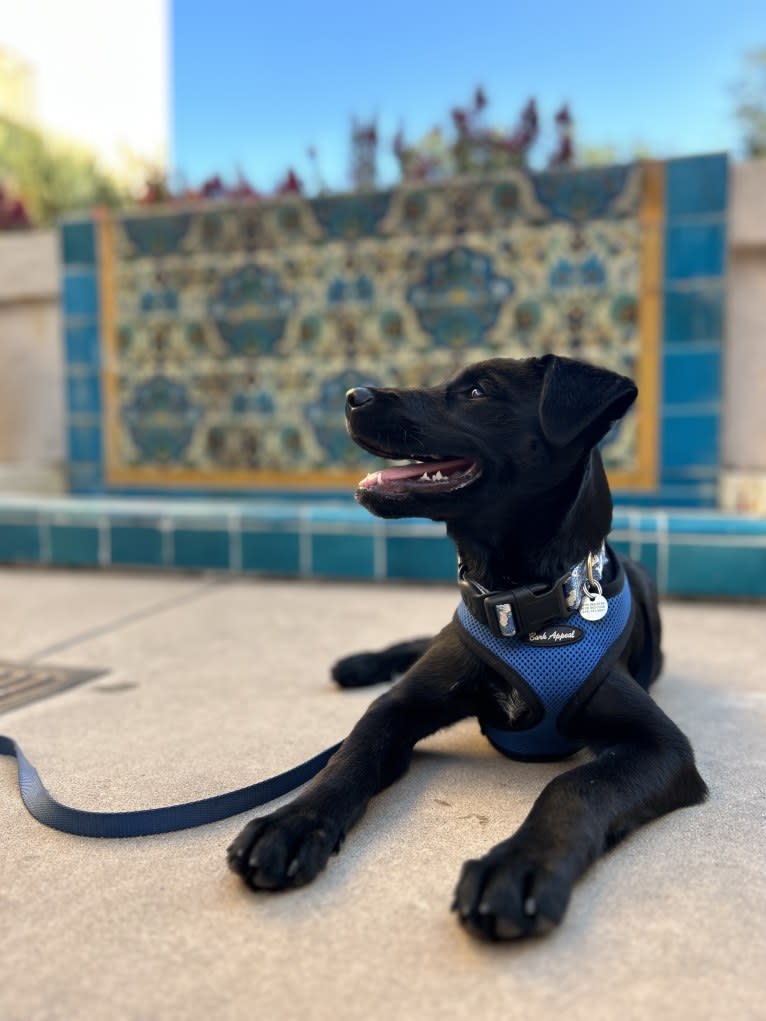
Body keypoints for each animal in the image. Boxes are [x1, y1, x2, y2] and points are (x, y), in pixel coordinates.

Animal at [227, 357, 706, 939]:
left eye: (478, 391)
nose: (352, 396)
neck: (520, 607)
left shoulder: (662, 746)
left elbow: (574, 786)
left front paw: (519, 866)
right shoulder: (398, 706)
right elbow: (348, 758)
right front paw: (292, 823)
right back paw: (359, 664)